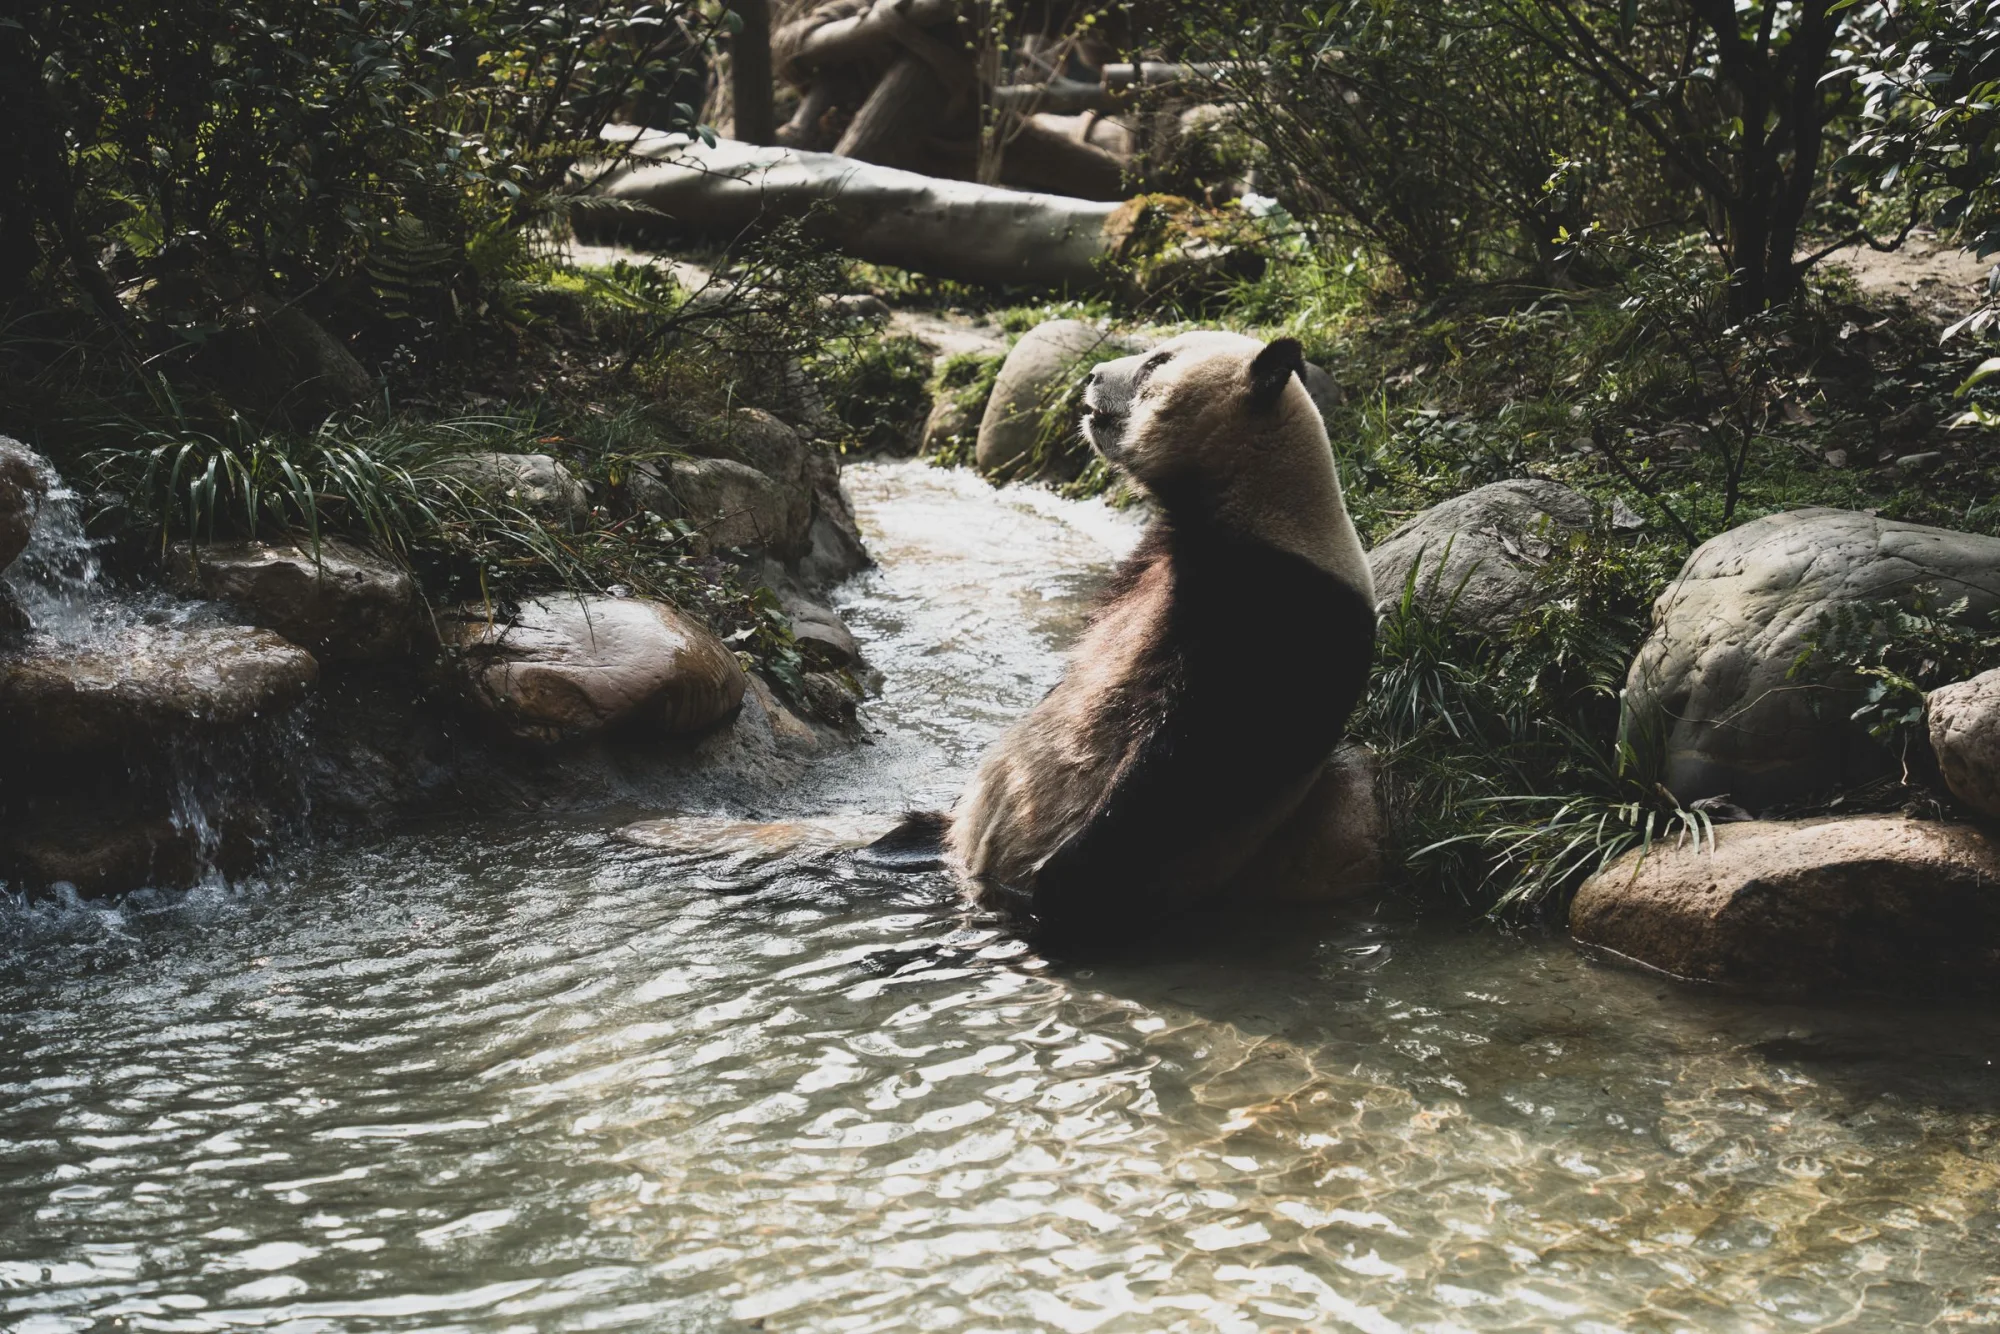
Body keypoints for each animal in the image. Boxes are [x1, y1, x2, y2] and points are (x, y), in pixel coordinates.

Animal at [867, 331, 1377, 945]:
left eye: (1156, 362)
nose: (1090, 376)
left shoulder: (1280, 609)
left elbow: (1200, 754)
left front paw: (1060, 875)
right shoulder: (1149, 561)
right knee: (924, 832)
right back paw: (897, 847)